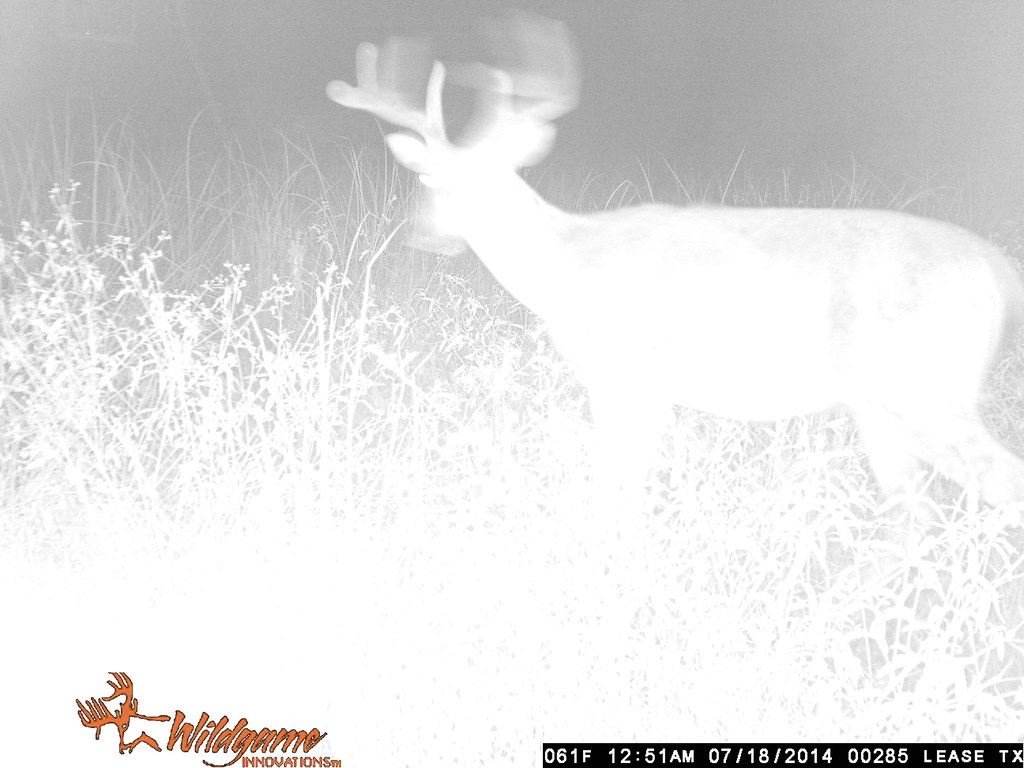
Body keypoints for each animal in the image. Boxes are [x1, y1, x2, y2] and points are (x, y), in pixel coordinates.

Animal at [327, 14, 1024, 517]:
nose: (424, 234)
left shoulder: (627, 378)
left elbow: (615, 495)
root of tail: (998, 270)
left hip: (930, 393)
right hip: (883, 411)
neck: (563, 267)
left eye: (431, 179)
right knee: (915, 515)